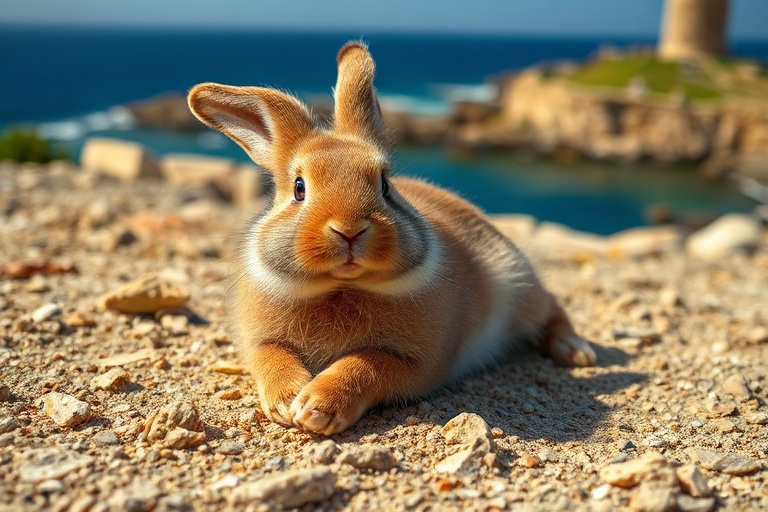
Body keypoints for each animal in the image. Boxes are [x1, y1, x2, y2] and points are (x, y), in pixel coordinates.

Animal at [187, 41, 596, 435]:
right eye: (299, 188)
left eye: (385, 185)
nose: (349, 229)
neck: (341, 286)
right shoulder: (259, 341)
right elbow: (271, 358)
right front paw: (287, 402)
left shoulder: (416, 362)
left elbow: (366, 364)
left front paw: (317, 407)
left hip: (521, 287)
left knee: (551, 308)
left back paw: (576, 351)